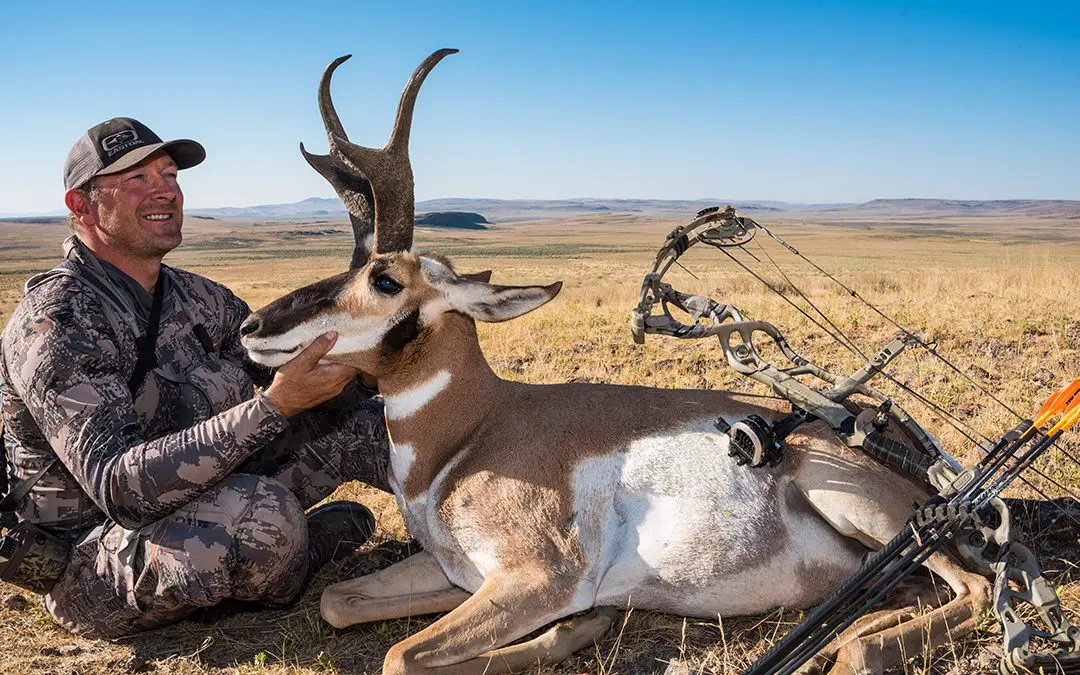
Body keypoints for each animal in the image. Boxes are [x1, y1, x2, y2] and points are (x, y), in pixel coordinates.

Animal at [240, 49, 989, 669]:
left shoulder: (539, 578)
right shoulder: (457, 575)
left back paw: (858, 647)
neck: (475, 428)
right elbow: (338, 602)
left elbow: (400, 656)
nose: (251, 325)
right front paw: (585, 627)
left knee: (975, 588)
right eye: (351, 260)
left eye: (386, 279)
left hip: (863, 506)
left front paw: (579, 626)